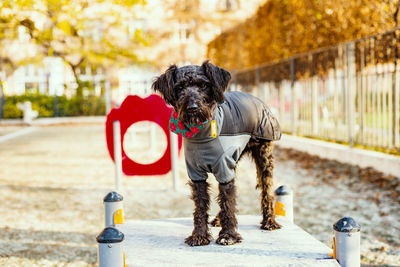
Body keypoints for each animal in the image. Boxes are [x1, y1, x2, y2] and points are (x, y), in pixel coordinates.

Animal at [152, 60, 282, 247]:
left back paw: (270, 221)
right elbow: (201, 205)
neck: (202, 133)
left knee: (267, 191)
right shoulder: (196, 173)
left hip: (264, 157)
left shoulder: (224, 169)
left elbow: (228, 201)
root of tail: (255, 98)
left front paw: (228, 235)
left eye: (203, 85)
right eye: (180, 87)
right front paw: (199, 235)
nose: (192, 107)